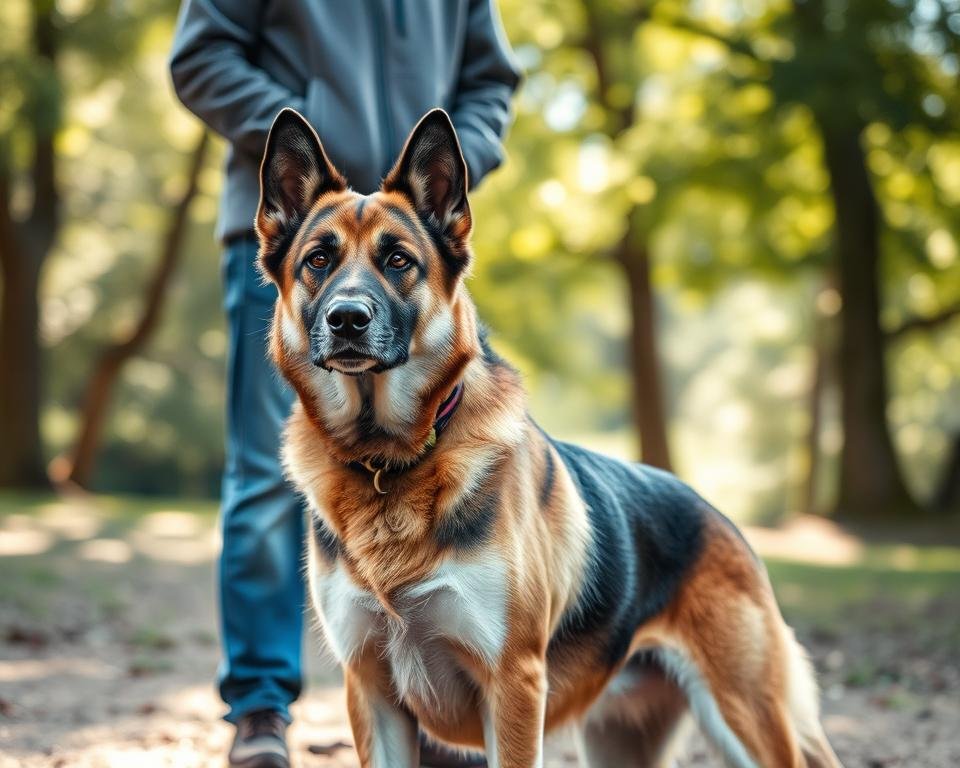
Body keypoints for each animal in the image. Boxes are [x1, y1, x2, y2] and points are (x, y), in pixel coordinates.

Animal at [253, 108, 840, 768]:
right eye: (318, 261)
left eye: (399, 261)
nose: (347, 319)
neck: (391, 460)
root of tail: (721, 519)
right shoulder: (372, 695)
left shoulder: (513, 687)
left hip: (744, 718)